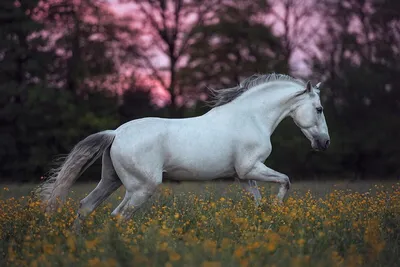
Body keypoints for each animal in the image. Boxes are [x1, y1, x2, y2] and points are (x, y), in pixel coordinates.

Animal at [36, 73, 332, 228]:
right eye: (318, 109)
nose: (325, 143)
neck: (251, 117)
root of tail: (116, 133)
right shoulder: (251, 168)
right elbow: (285, 181)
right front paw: (278, 209)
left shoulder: (243, 175)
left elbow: (257, 200)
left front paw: (263, 219)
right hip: (141, 187)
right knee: (119, 216)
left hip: (111, 180)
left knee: (86, 207)